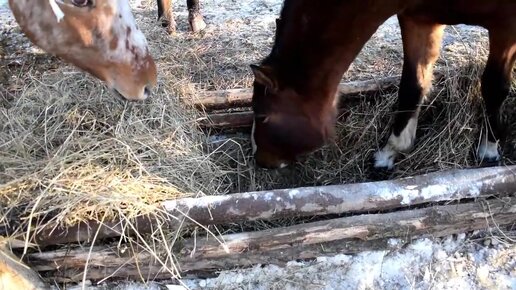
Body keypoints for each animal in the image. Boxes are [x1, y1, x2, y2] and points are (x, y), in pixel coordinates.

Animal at [249, 0, 512, 169]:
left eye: (262, 116)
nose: (261, 161)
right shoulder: (419, 19)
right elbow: (412, 86)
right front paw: (390, 152)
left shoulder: (506, 24)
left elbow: (494, 86)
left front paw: (489, 148)